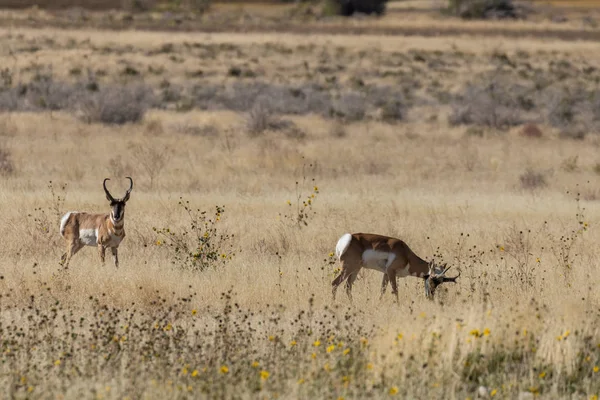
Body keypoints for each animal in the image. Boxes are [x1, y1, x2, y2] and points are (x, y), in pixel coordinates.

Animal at [332, 233, 460, 302]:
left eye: (440, 283)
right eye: (432, 279)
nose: (430, 297)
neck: (405, 254)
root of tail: (348, 238)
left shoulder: (386, 273)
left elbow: (382, 290)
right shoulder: (391, 272)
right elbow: (395, 290)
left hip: (355, 269)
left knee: (348, 287)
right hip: (348, 268)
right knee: (334, 283)